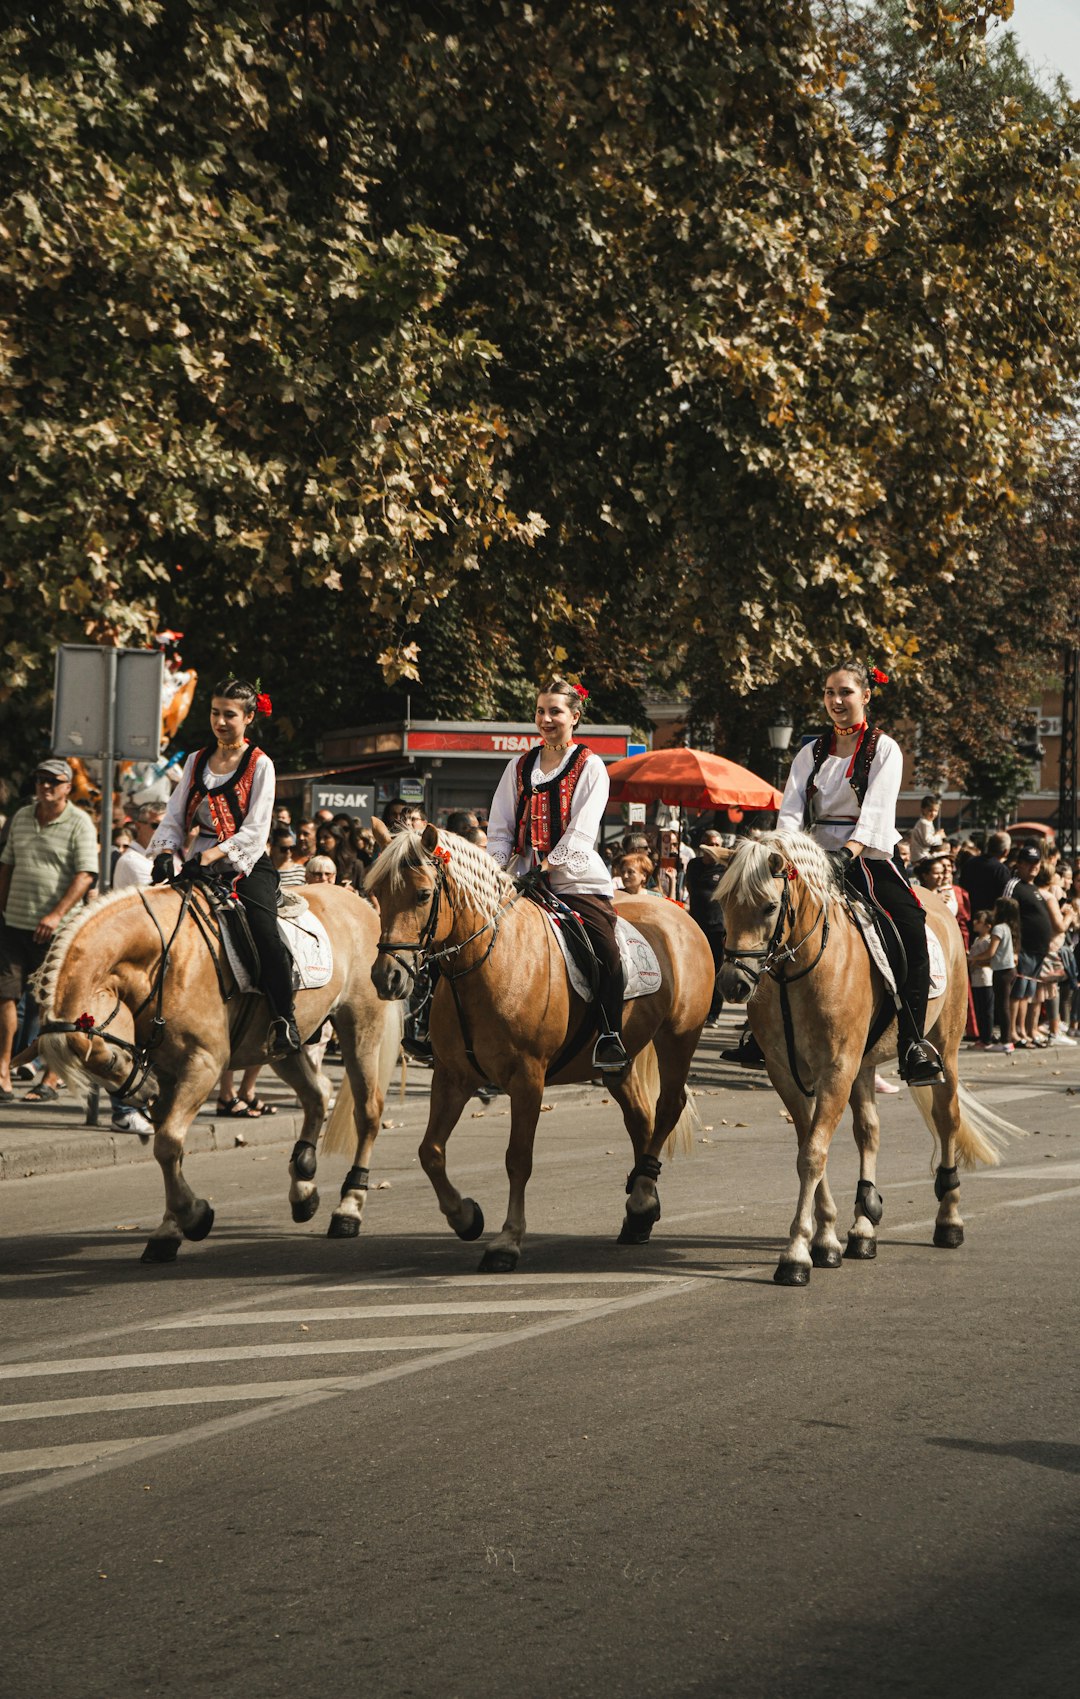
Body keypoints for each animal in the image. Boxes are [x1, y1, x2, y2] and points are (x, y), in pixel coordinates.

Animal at [36, 876, 404, 1264]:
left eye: (108, 1060)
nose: (144, 1092)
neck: (165, 956)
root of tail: (362, 903)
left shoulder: (203, 1065)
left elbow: (167, 1144)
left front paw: (192, 1217)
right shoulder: (167, 1072)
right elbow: (171, 1149)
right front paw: (172, 1227)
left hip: (360, 1027)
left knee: (367, 1112)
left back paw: (349, 1208)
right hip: (281, 1046)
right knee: (317, 1094)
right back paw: (303, 1188)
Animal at [365, 822, 716, 1277]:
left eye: (423, 894)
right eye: (375, 892)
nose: (387, 977)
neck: (490, 961)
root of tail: (678, 913)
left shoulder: (527, 1080)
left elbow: (518, 1158)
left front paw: (507, 1241)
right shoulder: (452, 1077)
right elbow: (430, 1152)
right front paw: (465, 1216)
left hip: (678, 1038)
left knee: (668, 1107)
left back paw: (641, 1200)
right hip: (618, 1062)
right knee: (640, 1118)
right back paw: (641, 1209)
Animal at [716, 825, 1012, 1284]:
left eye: (768, 906)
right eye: (723, 904)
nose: (734, 985)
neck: (799, 971)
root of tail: (938, 901)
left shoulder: (836, 1070)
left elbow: (813, 1154)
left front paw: (797, 1253)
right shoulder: (788, 1073)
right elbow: (809, 1147)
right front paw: (826, 1239)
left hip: (945, 1049)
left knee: (947, 1120)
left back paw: (948, 1219)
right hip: (865, 1066)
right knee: (869, 1131)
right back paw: (863, 1227)